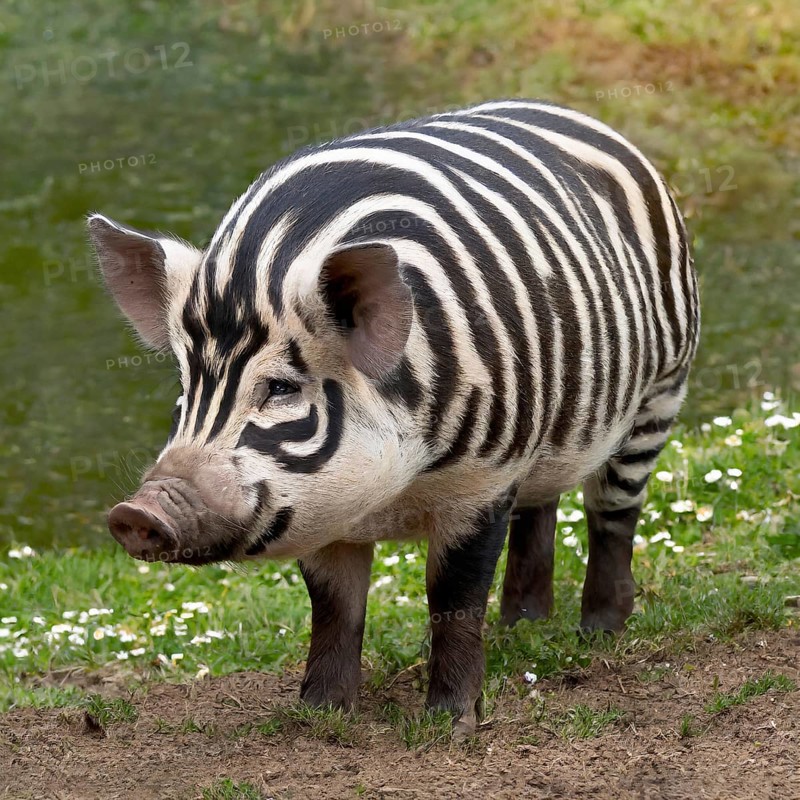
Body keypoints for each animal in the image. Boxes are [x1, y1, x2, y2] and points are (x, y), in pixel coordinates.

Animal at [89, 98, 699, 733]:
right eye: (187, 390)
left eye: (281, 388)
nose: (138, 512)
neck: (394, 490)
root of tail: (578, 116)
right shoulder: (321, 508)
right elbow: (335, 606)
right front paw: (320, 714)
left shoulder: (485, 476)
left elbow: (453, 597)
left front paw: (450, 724)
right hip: (549, 436)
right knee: (541, 507)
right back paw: (522, 630)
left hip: (660, 392)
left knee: (613, 514)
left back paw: (599, 634)